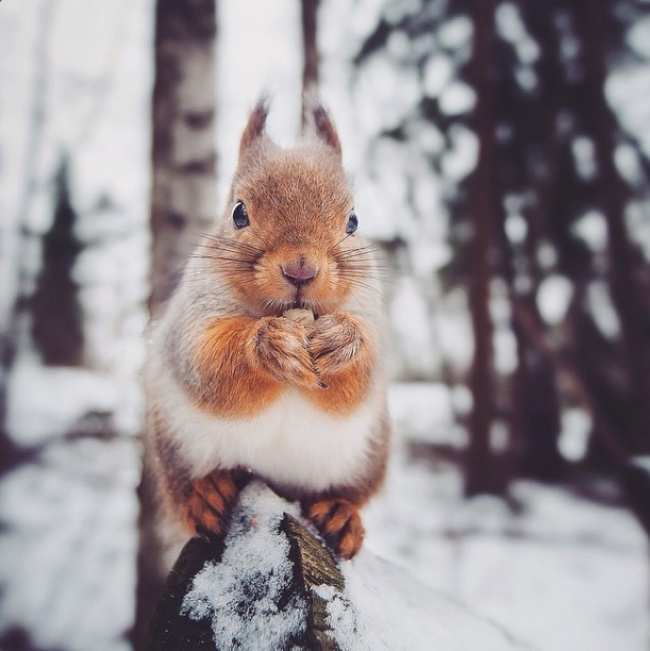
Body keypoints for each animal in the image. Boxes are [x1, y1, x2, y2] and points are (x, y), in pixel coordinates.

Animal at [146, 98, 390, 560]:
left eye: (353, 220)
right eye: (238, 213)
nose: (301, 268)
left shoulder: (371, 314)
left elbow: (360, 376)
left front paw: (342, 340)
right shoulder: (194, 317)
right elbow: (207, 361)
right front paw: (269, 344)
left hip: (369, 453)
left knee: (353, 492)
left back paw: (340, 512)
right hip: (172, 442)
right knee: (182, 490)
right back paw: (206, 494)